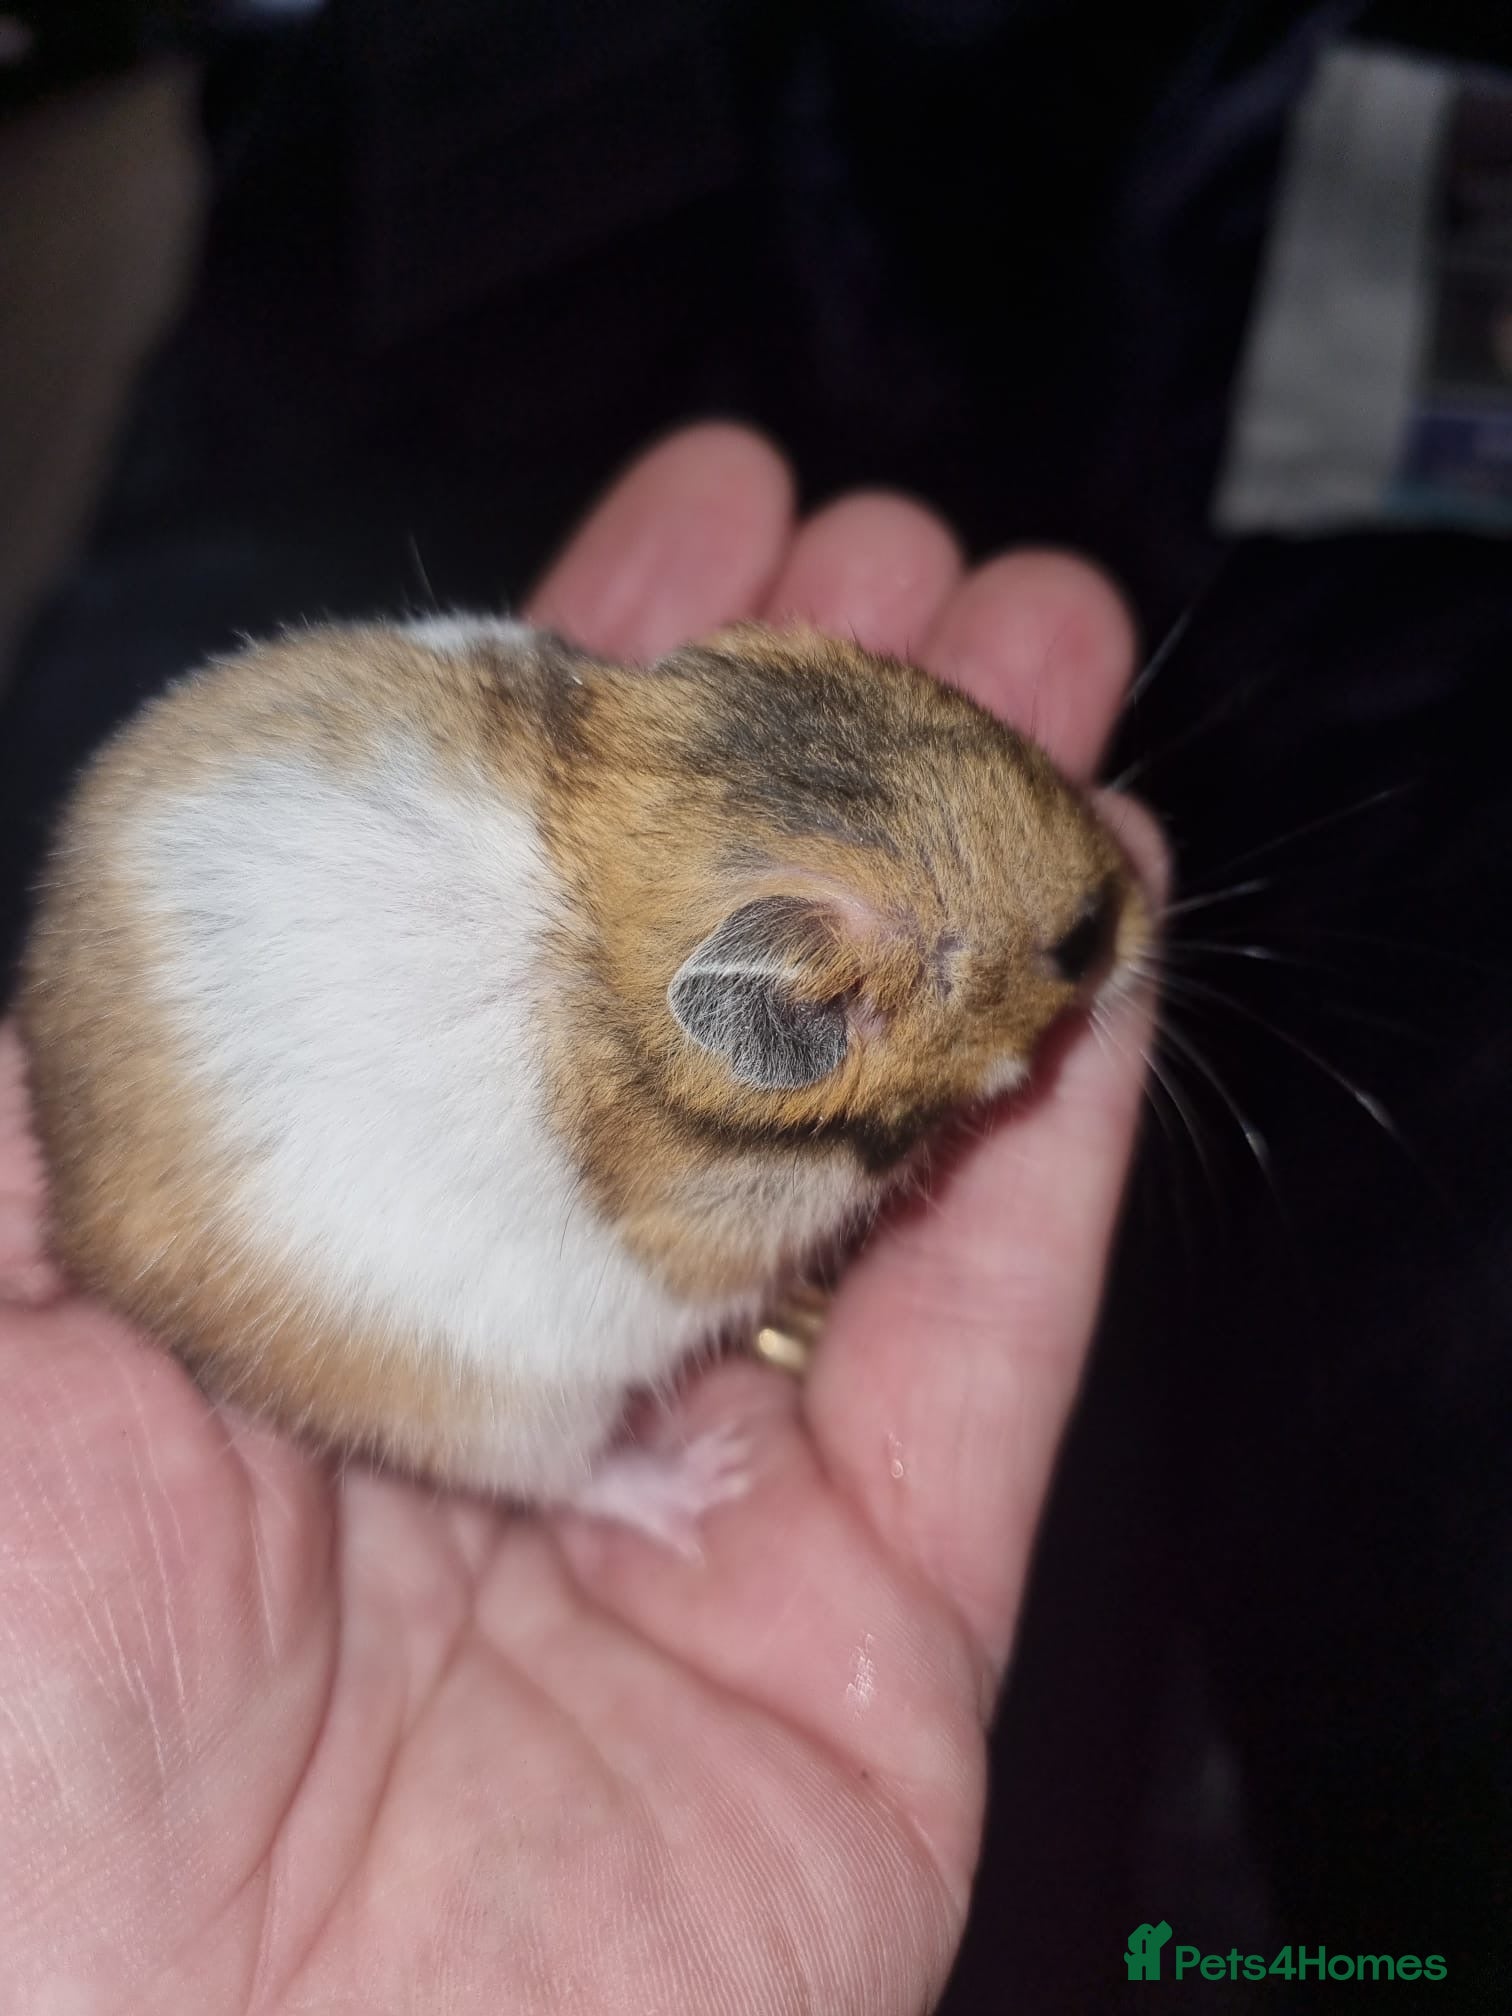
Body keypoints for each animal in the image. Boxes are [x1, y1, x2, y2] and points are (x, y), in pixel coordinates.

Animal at [18, 615, 1147, 1541]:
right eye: (1080, 942)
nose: (1145, 891)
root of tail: (70, 1212)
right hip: (495, 1412)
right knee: (566, 1481)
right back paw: (702, 1484)